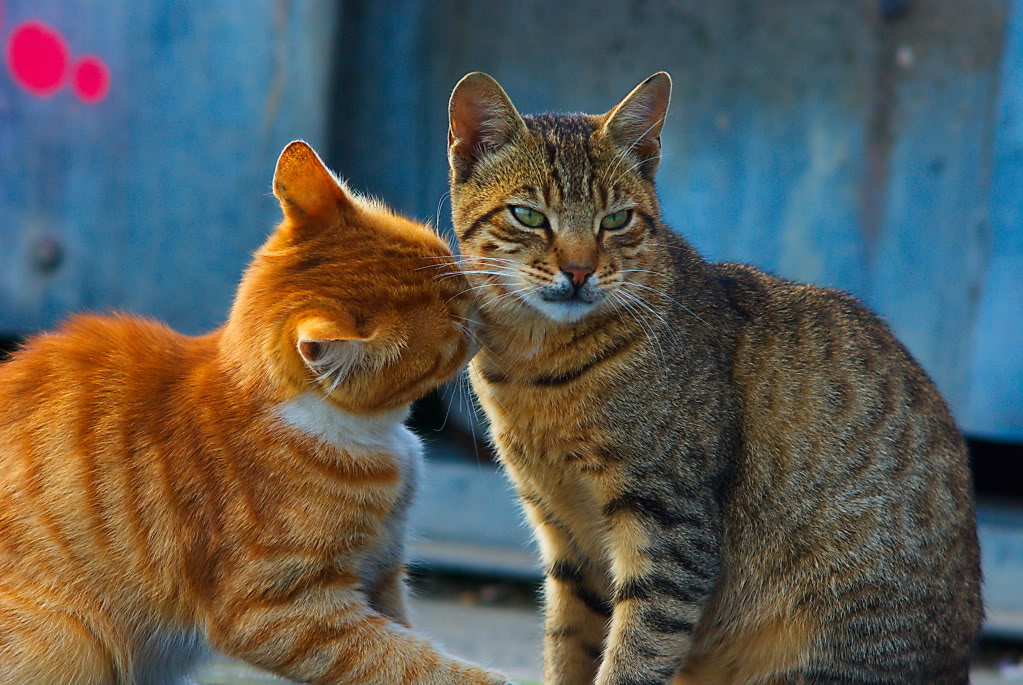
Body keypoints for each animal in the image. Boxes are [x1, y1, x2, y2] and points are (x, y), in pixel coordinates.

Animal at [0, 139, 509, 685]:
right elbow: (403, 660)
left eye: (447, 259)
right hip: (74, 639)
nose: (481, 302)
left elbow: (407, 638)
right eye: (455, 329)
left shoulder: (382, 573)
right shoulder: (279, 609)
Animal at [446, 72, 982, 682]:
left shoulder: (671, 530)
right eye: (530, 215)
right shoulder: (566, 542)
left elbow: (634, 654)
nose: (579, 271)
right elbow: (567, 648)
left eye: (616, 219)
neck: (534, 369)